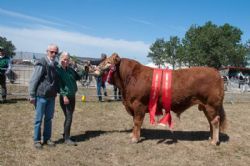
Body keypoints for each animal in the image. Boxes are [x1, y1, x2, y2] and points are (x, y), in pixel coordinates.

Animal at [95, 53, 227, 145]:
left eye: (108, 62)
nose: (95, 69)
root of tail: (216, 72)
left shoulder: (138, 104)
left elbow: (137, 121)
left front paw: (134, 139)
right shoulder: (132, 105)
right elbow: (134, 122)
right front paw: (133, 135)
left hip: (211, 104)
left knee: (215, 121)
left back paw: (214, 141)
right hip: (205, 106)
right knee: (211, 121)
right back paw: (210, 137)